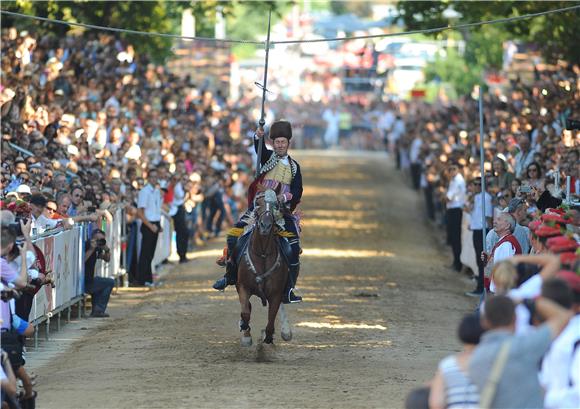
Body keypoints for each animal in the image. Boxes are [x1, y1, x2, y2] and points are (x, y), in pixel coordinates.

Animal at [234, 189, 290, 344]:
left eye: (276, 205)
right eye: (257, 204)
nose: (265, 226)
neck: (263, 254)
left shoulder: (276, 293)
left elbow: (271, 318)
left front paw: (268, 336)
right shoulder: (243, 287)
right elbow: (245, 312)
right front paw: (246, 333)